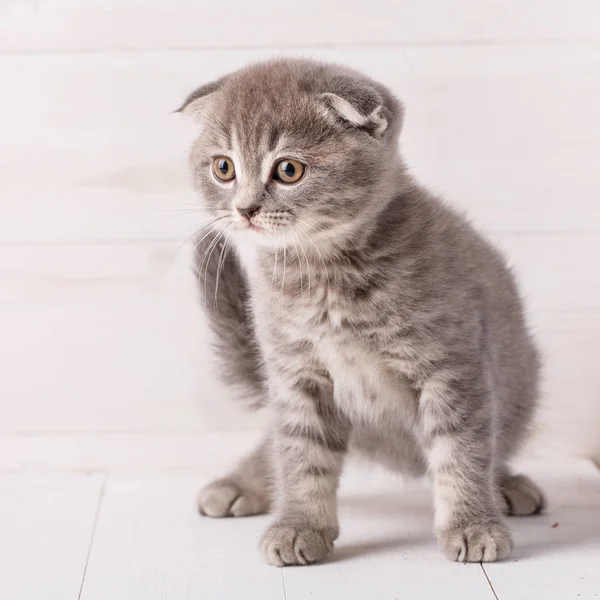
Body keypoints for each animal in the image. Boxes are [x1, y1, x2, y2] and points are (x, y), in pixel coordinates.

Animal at [177, 59, 544, 568]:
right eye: (223, 167)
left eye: (288, 170)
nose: (245, 208)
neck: (326, 277)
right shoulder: (295, 373)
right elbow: (300, 454)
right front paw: (299, 525)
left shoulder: (451, 366)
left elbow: (463, 449)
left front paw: (473, 524)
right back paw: (241, 483)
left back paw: (506, 484)